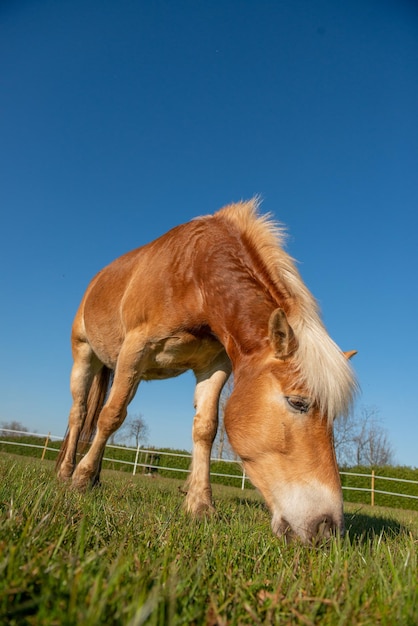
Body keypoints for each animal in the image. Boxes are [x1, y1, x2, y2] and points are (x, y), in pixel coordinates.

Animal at [55, 199, 356, 540]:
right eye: (298, 403)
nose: (328, 528)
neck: (195, 273)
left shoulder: (214, 367)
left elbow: (205, 429)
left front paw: (200, 505)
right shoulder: (135, 350)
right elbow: (111, 416)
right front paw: (81, 478)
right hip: (85, 357)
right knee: (80, 413)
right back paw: (68, 471)